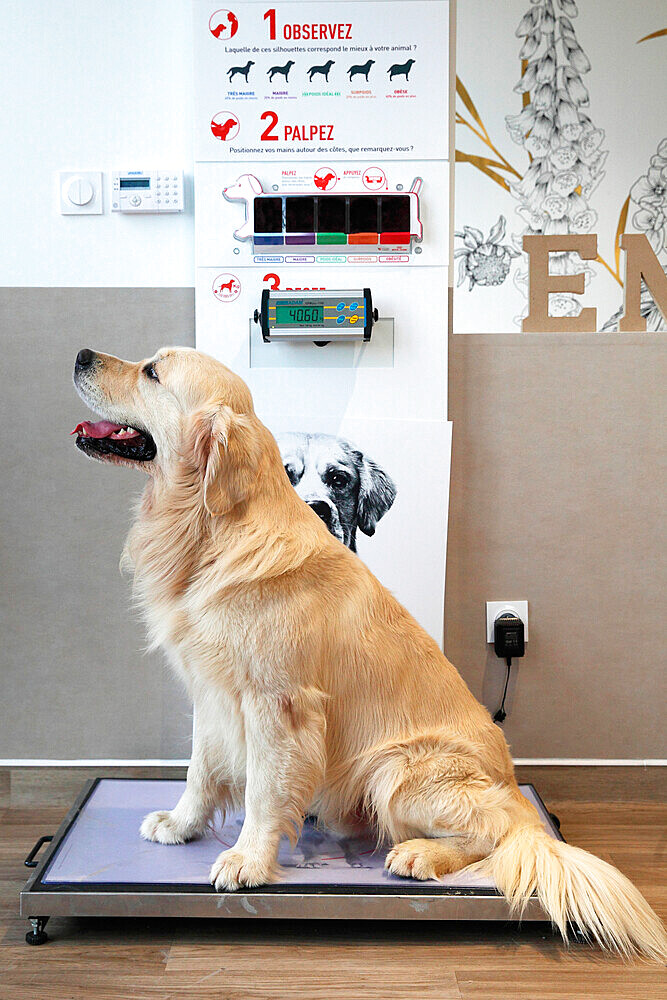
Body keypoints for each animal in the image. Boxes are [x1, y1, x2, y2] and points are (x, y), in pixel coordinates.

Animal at [72, 346, 667, 960]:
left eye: (152, 372)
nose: (81, 355)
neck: (211, 531)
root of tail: (516, 793)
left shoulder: (277, 705)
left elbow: (262, 791)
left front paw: (248, 861)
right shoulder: (212, 693)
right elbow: (199, 769)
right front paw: (181, 823)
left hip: (397, 769)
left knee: (500, 834)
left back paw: (421, 854)